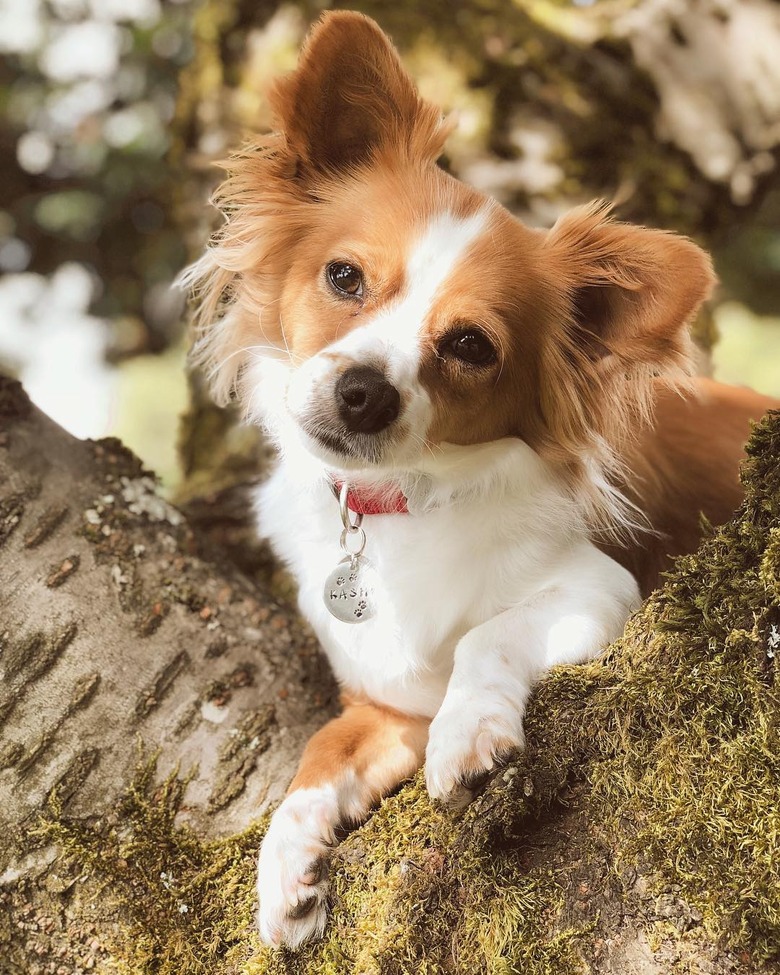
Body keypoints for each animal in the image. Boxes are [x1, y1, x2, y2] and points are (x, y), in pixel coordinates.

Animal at [184, 11, 780, 948]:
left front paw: (468, 731)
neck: (400, 509)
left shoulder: (600, 589)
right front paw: (283, 862)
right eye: (344, 276)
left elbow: (485, 635)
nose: (364, 391)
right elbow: (320, 751)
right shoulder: (384, 705)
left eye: (471, 345)